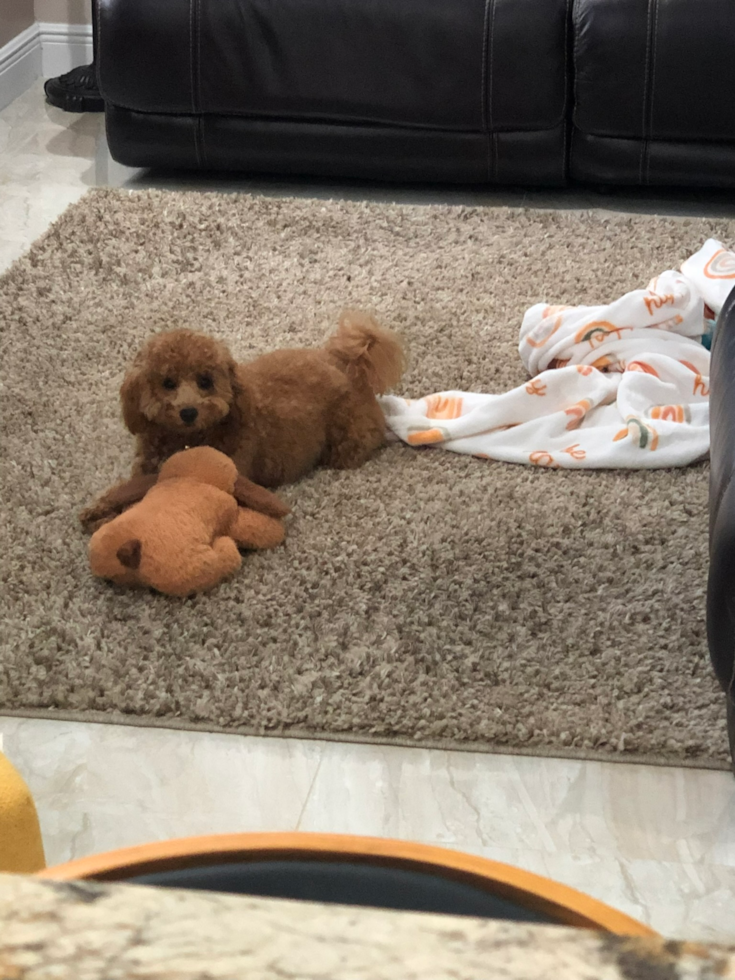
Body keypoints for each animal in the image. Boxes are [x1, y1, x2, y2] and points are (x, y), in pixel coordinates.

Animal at [82, 312, 406, 528]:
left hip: (347, 441)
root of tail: (347, 364)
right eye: (167, 383)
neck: (187, 440)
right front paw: (100, 510)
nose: (188, 412)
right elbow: (128, 488)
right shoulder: (145, 467)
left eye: (205, 381)